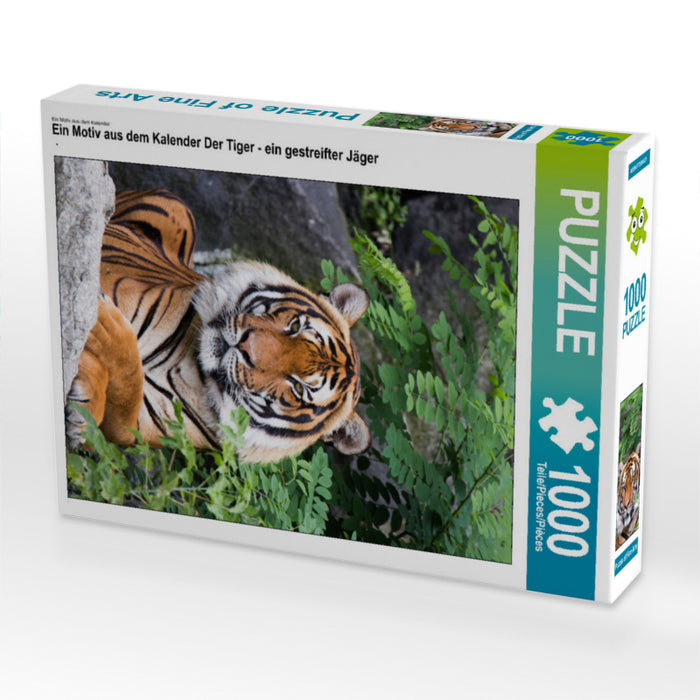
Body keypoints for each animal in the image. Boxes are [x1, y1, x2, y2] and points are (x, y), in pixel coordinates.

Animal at [65, 189, 371, 464]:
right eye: (295, 325)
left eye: (298, 388)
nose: (246, 345)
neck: (191, 368)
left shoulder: (136, 429)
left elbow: (127, 390)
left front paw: (82, 413)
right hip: (179, 208)